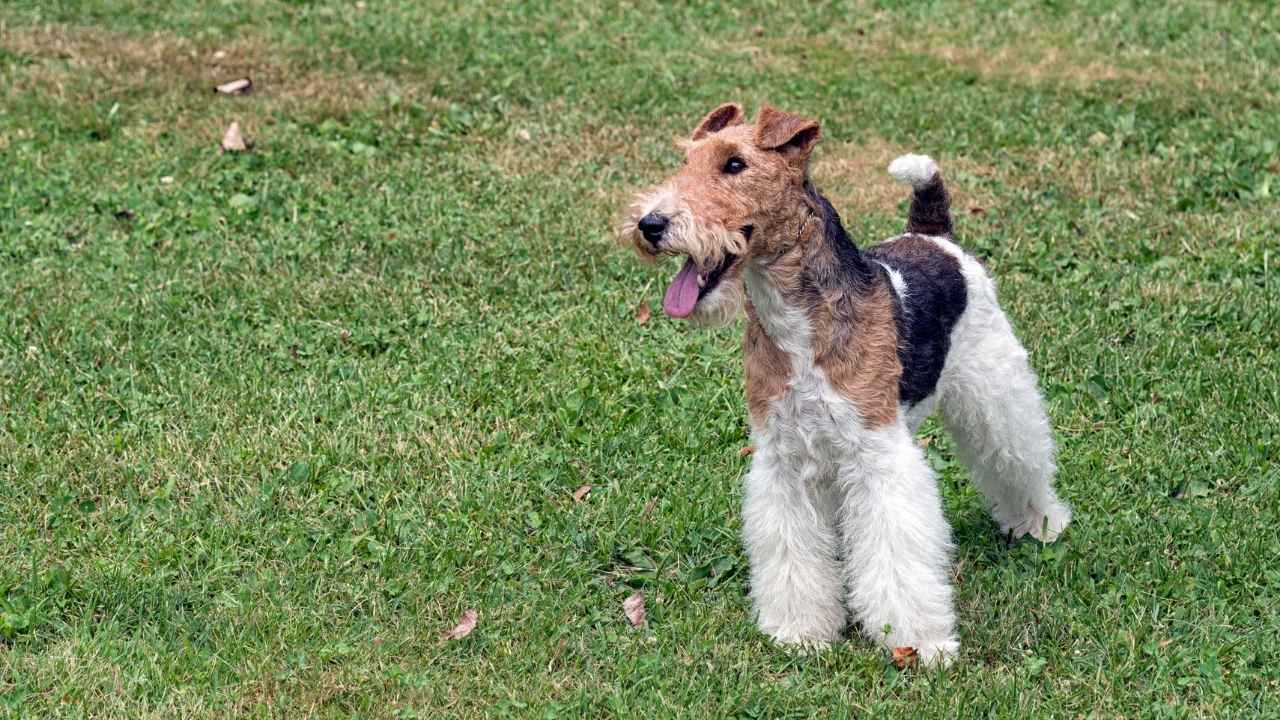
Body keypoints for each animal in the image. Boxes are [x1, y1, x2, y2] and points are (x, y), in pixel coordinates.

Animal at [619, 103, 1070, 666]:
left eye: (735, 164)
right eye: (686, 161)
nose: (650, 224)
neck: (798, 324)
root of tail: (933, 236)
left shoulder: (879, 457)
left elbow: (896, 555)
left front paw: (919, 643)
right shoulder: (785, 461)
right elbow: (794, 557)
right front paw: (800, 632)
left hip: (995, 388)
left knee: (1018, 456)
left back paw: (1041, 522)